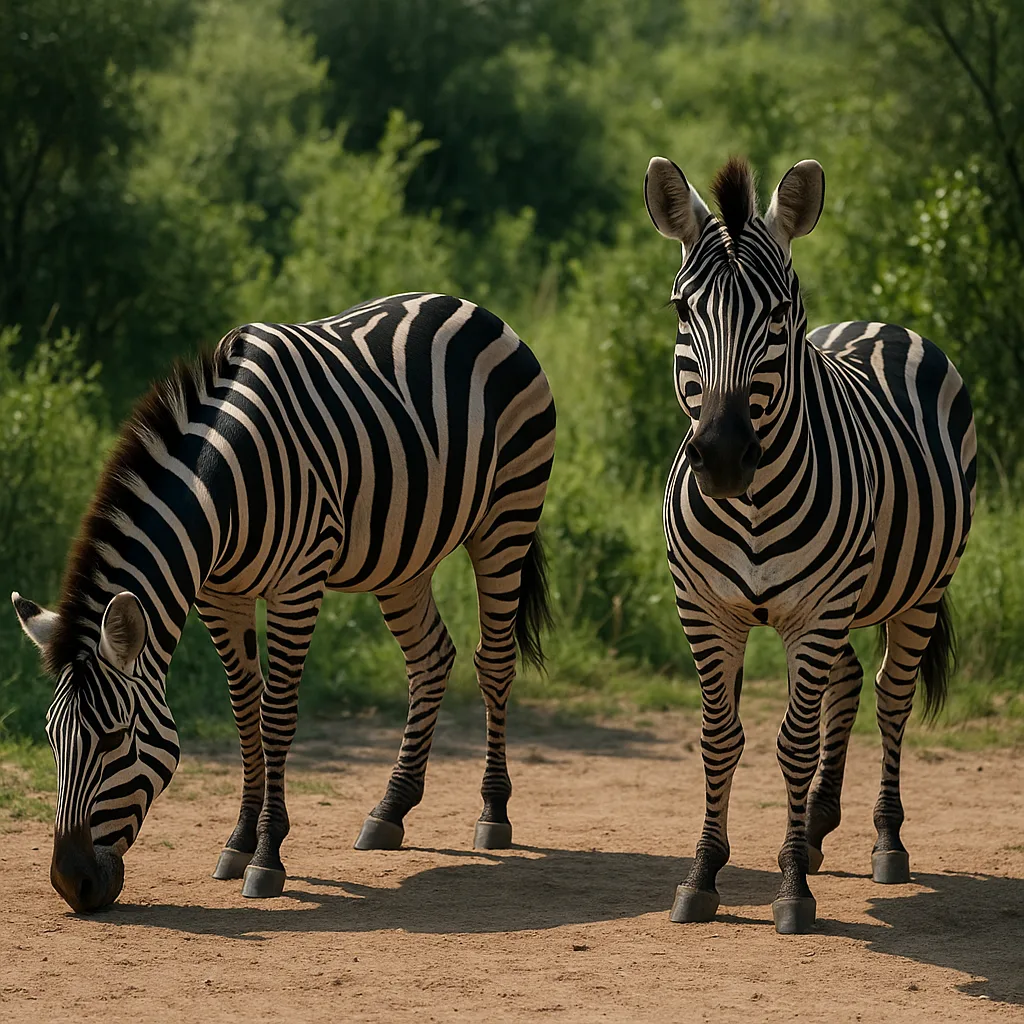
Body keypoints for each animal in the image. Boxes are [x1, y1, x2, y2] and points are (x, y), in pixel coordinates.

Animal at [12, 292, 556, 911]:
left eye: (113, 739)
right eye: (51, 740)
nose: (70, 885)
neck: (222, 484)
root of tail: (467, 305)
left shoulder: (298, 584)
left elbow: (276, 716)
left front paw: (267, 858)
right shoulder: (220, 596)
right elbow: (244, 710)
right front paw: (239, 841)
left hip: (508, 515)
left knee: (494, 662)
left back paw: (493, 813)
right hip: (403, 555)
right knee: (431, 658)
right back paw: (390, 810)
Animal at [643, 155, 976, 934]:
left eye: (776, 315)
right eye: (681, 310)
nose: (723, 457)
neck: (753, 508)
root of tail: (879, 323)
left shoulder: (817, 612)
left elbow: (791, 743)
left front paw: (792, 888)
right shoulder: (705, 609)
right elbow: (719, 737)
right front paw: (703, 873)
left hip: (921, 587)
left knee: (890, 697)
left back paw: (886, 843)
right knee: (848, 682)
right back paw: (820, 825)